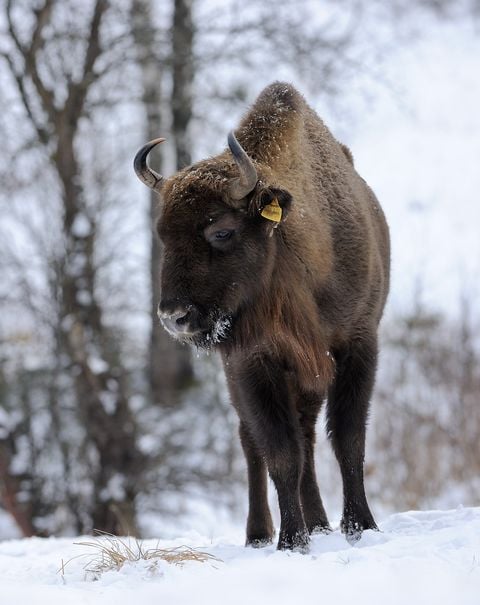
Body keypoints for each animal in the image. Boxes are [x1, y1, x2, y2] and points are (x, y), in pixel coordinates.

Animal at [133, 82, 388, 548]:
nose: (174, 316)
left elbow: (348, 438)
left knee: (306, 435)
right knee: (255, 441)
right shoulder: (253, 362)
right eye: (162, 235)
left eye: (221, 231)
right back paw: (260, 534)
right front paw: (292, 541)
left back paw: (320, 523)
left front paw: (360, 525)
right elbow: (280, 452)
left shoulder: (357, 345)